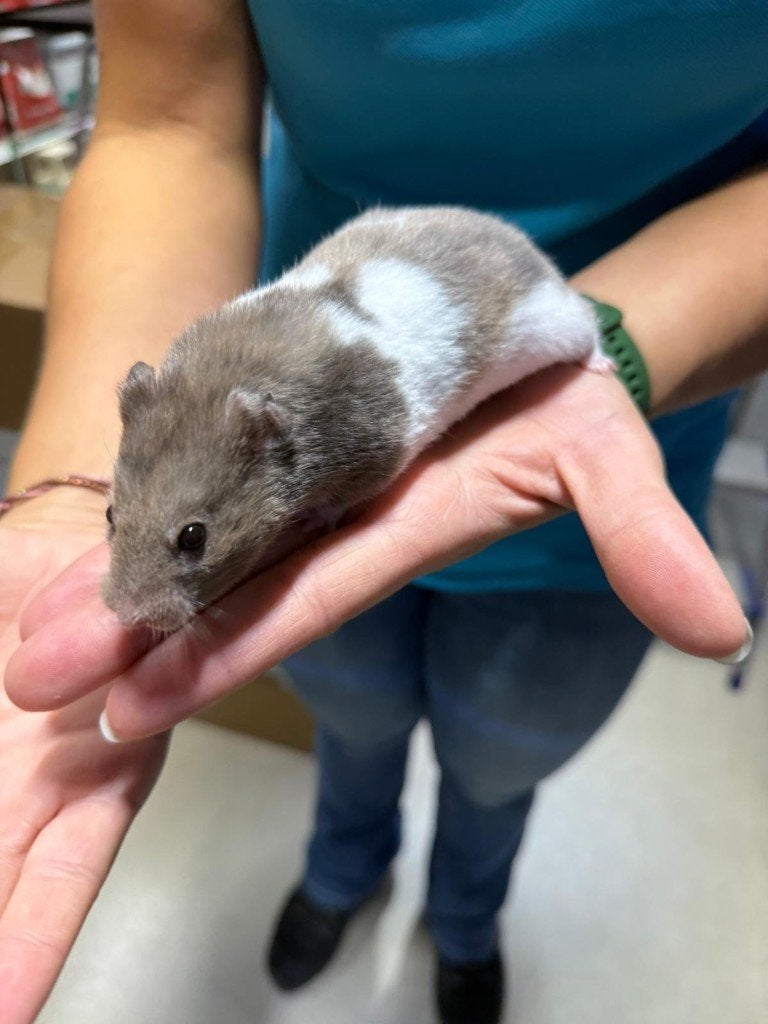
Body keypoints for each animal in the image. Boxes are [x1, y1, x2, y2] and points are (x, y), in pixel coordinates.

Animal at [102, 206, 612, 632]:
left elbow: (342, 499)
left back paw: (602, 365)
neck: (227, 378)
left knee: (589, 320)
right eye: (110, 514)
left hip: (555, 323)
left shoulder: (377, 454)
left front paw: (311, 520)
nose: (125, 617)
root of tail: (520, 240)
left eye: (194, 537)